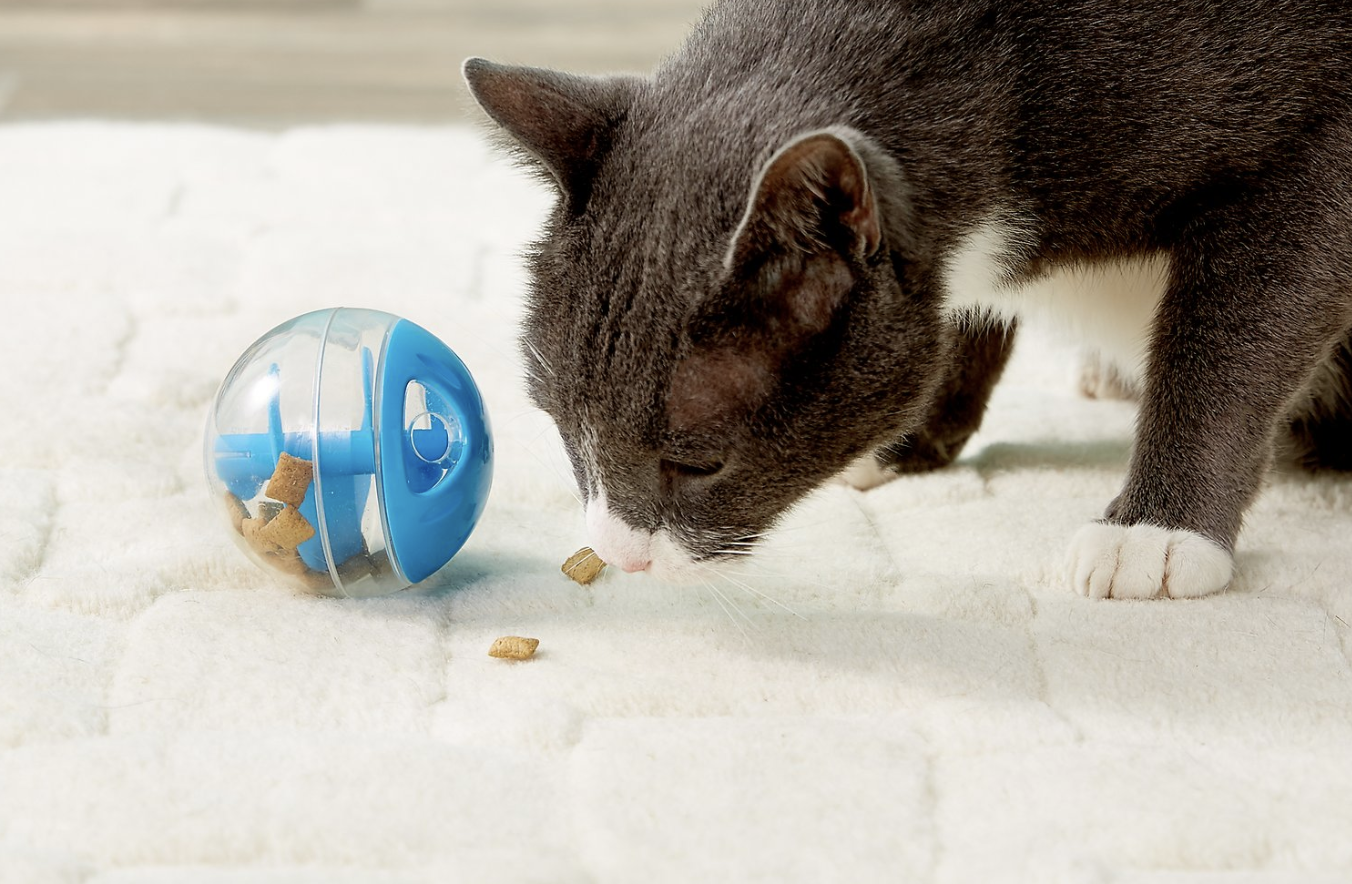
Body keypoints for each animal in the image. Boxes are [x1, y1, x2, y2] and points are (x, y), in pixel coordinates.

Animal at [465, 0, 1352, 600]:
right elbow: (955, 313)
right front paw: (907, 436)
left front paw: (1155, 532)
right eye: (561, 427)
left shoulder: (1318, 133)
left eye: (697, 462)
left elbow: (1231, 336)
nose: (621, 554)